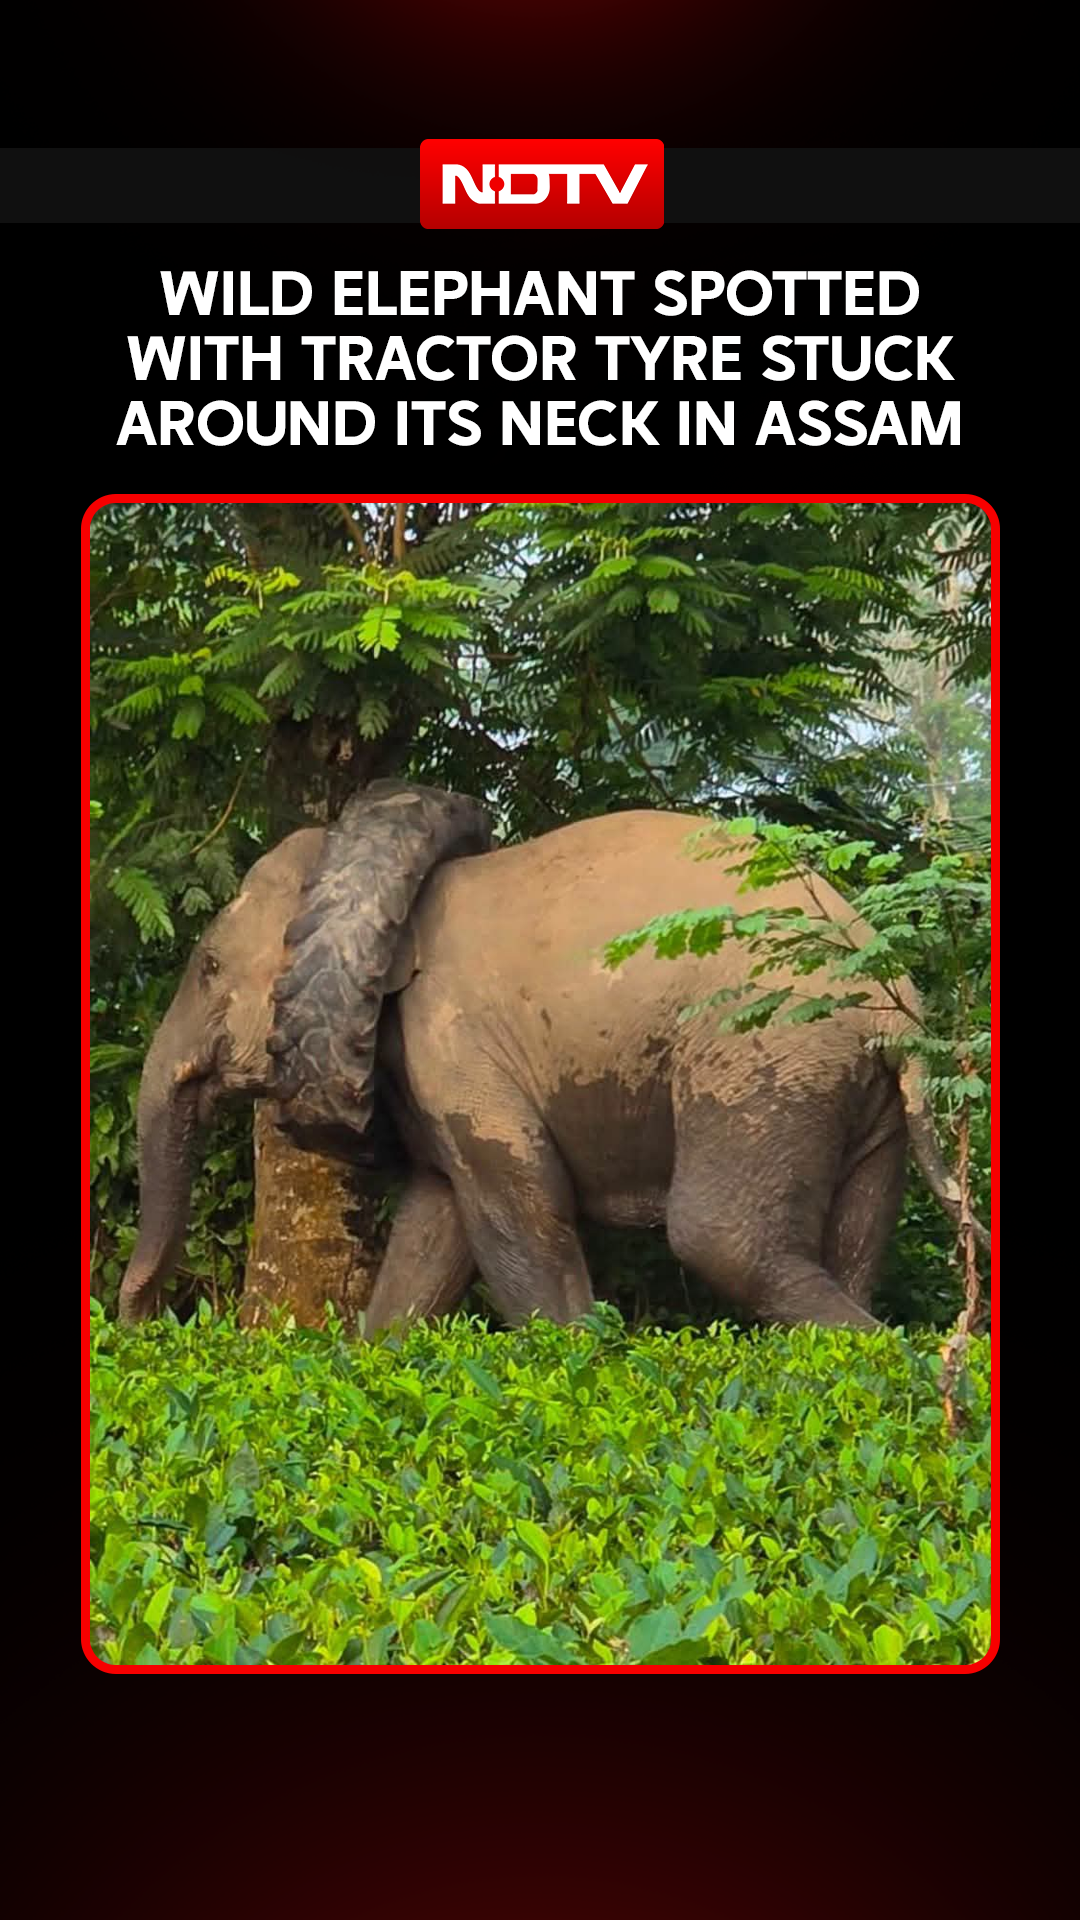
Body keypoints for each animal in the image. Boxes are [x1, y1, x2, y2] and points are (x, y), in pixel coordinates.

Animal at [118, 780, 988, 1334]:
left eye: (208, 968)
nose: (133, 1321)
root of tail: (891, 994)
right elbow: (434, 1226)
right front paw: (376, 1356)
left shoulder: (455, 1045)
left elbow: (521, 1204)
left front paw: (573, 1355)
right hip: (856, 1091)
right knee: (853, 1240)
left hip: (764, 1054)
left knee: (721, 1239)